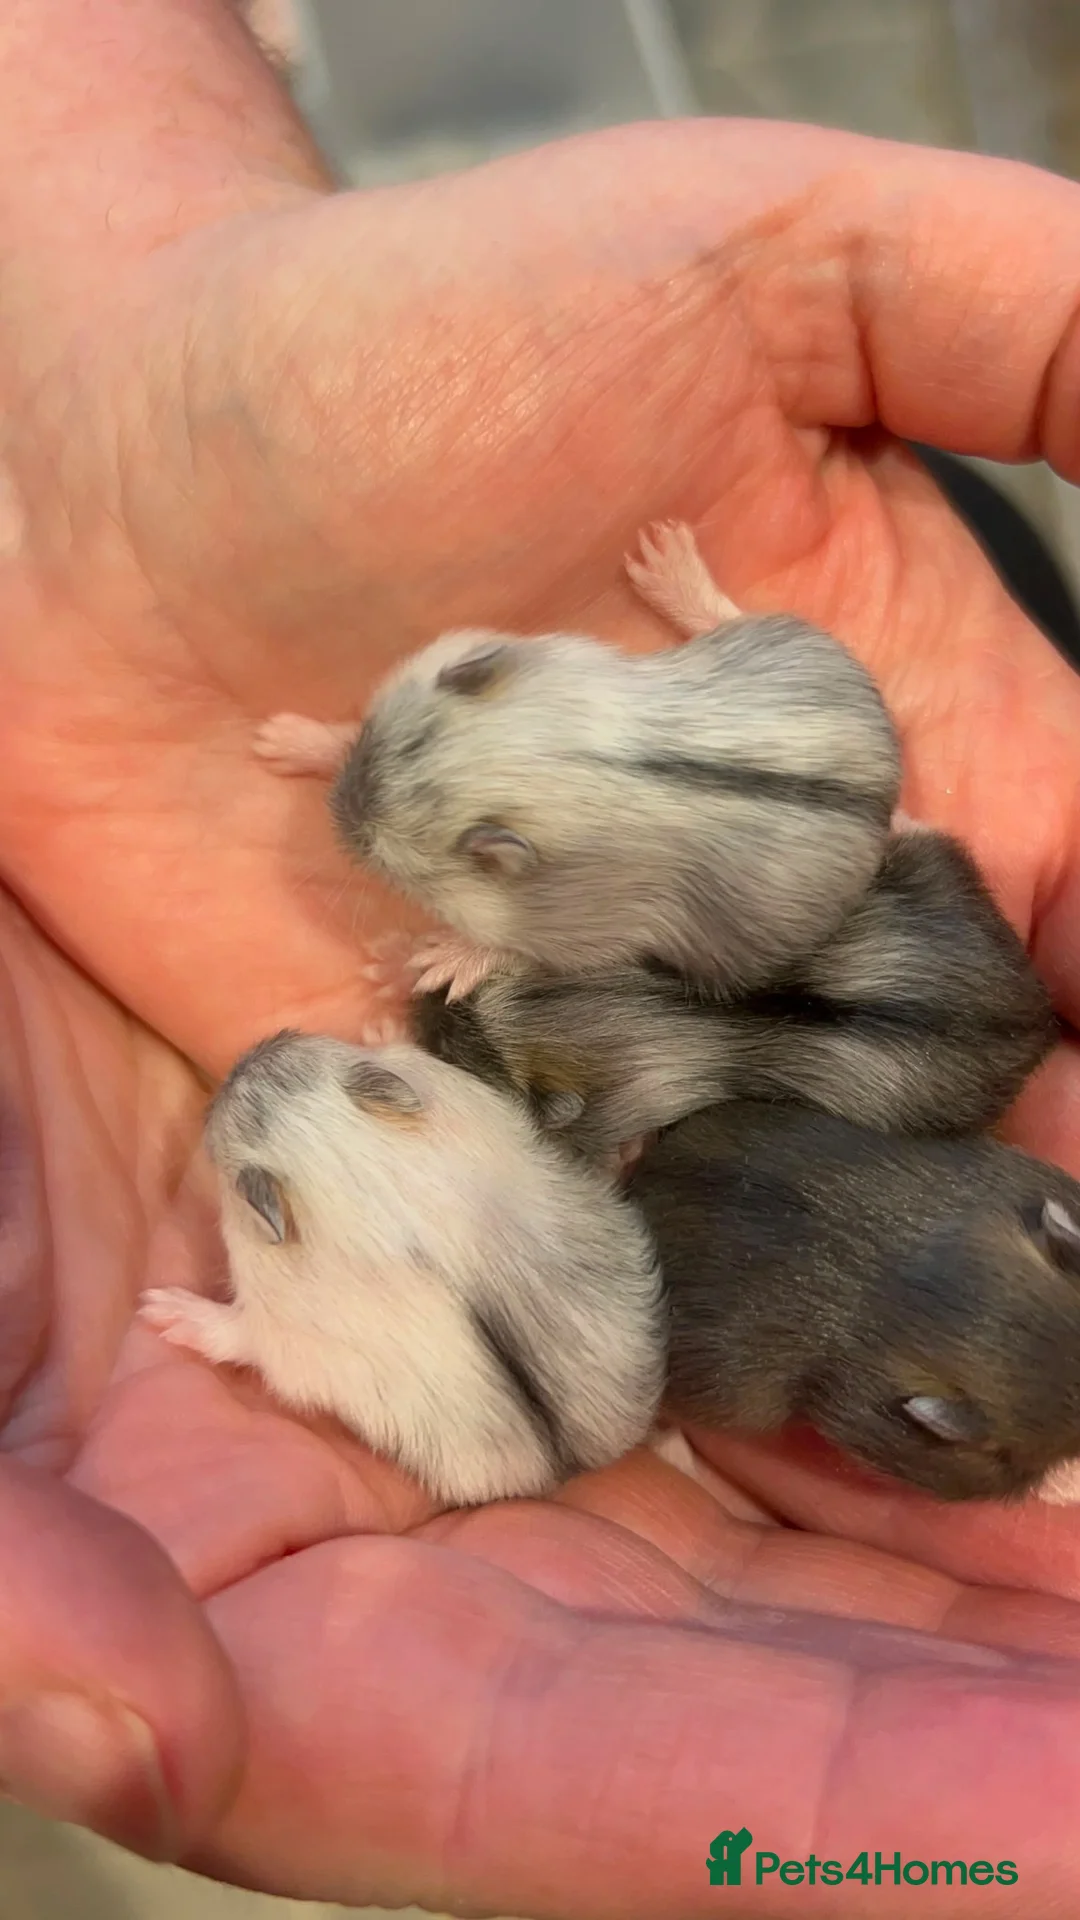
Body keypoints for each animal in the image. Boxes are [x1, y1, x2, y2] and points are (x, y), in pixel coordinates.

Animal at [138, 1031, 664, 1509]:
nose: (241, 1060)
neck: (360, 1172)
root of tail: (577, 1467)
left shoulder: (282, 1334)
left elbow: (238, 1335)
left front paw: (157, 1309)